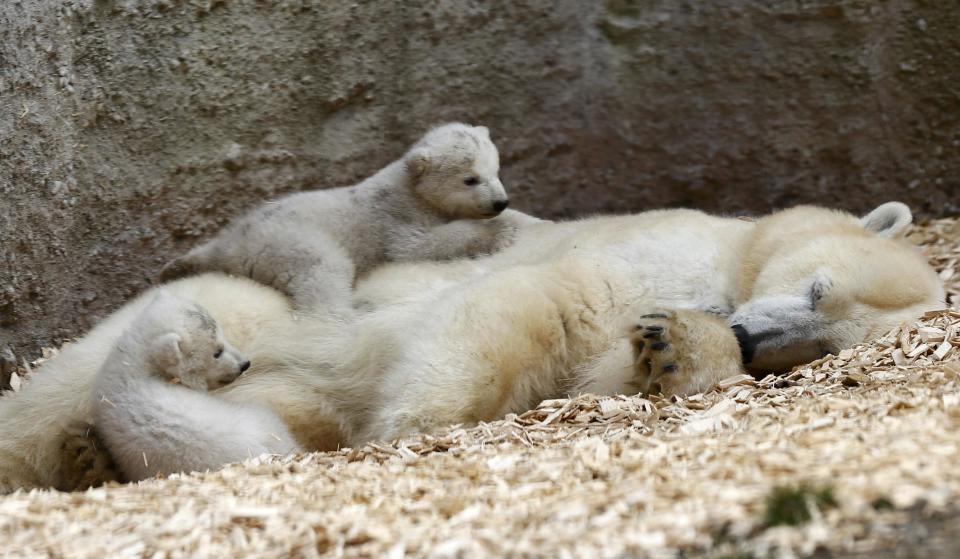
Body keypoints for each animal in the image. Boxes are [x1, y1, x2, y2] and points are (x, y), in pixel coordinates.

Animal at [0, 201, 940, 490]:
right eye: (817, 286)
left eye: (816, 349)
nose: (753, 332)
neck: (732, 259)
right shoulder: (645, 247)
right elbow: (536, 306)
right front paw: (411, 425)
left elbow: (604, 366)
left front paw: (672, 347)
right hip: (239, 313)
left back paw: (90, 454)